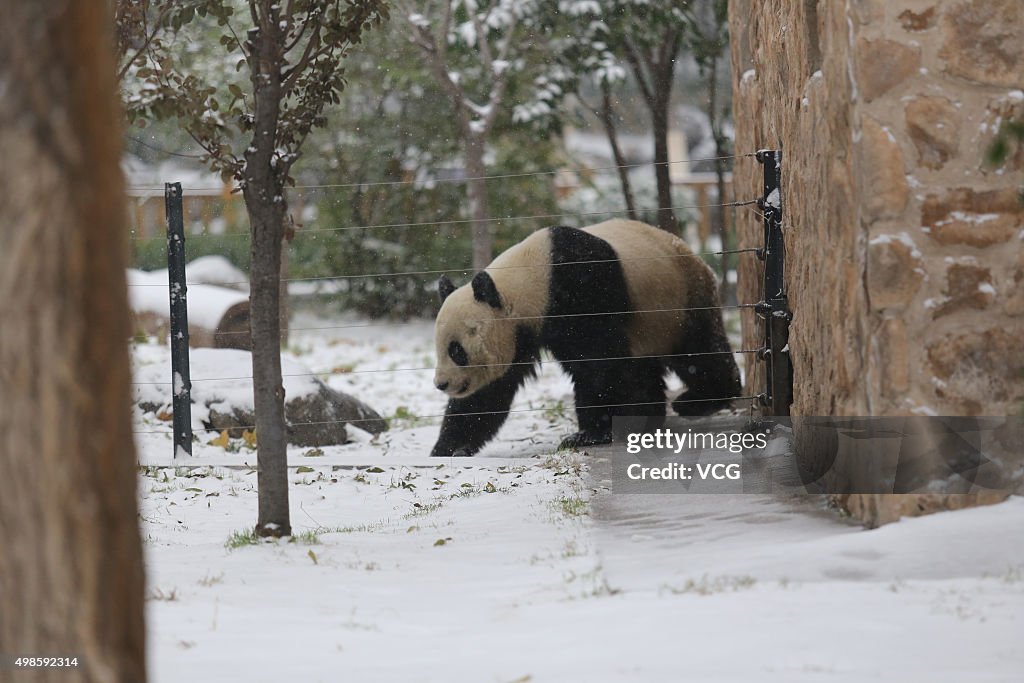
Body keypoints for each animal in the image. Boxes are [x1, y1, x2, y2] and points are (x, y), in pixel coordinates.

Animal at [428, 222, 741, 456]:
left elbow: (598, 365)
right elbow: (489, 391)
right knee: (646, 366)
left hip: (680, 302)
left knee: (696, 351)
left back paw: (700, 400)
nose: (441, 384)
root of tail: (696, 257)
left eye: (457, 351)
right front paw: (449, 448)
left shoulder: (581, 289)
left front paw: (595, 432)